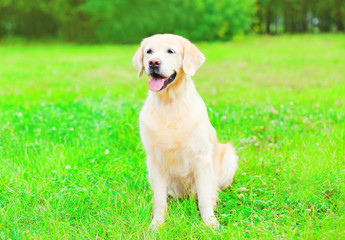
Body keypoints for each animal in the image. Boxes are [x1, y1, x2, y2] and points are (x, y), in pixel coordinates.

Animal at [132, 34, 236, 229]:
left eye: (170, 51)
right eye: (149, 51)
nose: (153, 62)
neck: (169, 104)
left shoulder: (201, 159)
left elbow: (204, 198)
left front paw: (210, 223)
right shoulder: (155, 161)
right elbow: (159, 200)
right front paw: (156, 225)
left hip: (230, 157)